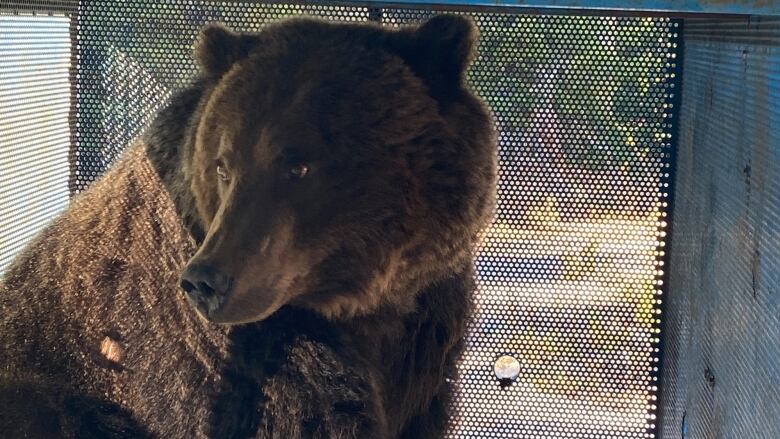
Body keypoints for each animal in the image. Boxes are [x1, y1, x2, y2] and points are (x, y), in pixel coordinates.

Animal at [0, 14, 496, 439]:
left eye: (298, 166)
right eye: (223, 165)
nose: (206, 281)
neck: (360, 305)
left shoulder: (426, 331)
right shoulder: (225, 352)